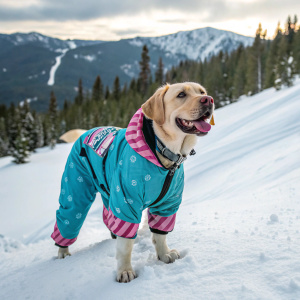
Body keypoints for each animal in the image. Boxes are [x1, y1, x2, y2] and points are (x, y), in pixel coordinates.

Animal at [54, 81, 213, 282]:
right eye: (181, 95)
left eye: (202, 91)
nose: (208, 100)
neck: (162, 152)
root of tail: (87, 132)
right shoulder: (126, 200)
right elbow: (126, 245)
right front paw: (125, 271)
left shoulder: (167, 204)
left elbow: (160, 234)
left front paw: (164, 254)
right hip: (76, 188)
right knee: (69, 217)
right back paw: (63, 252)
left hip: (107, 190)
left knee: (108, 216)